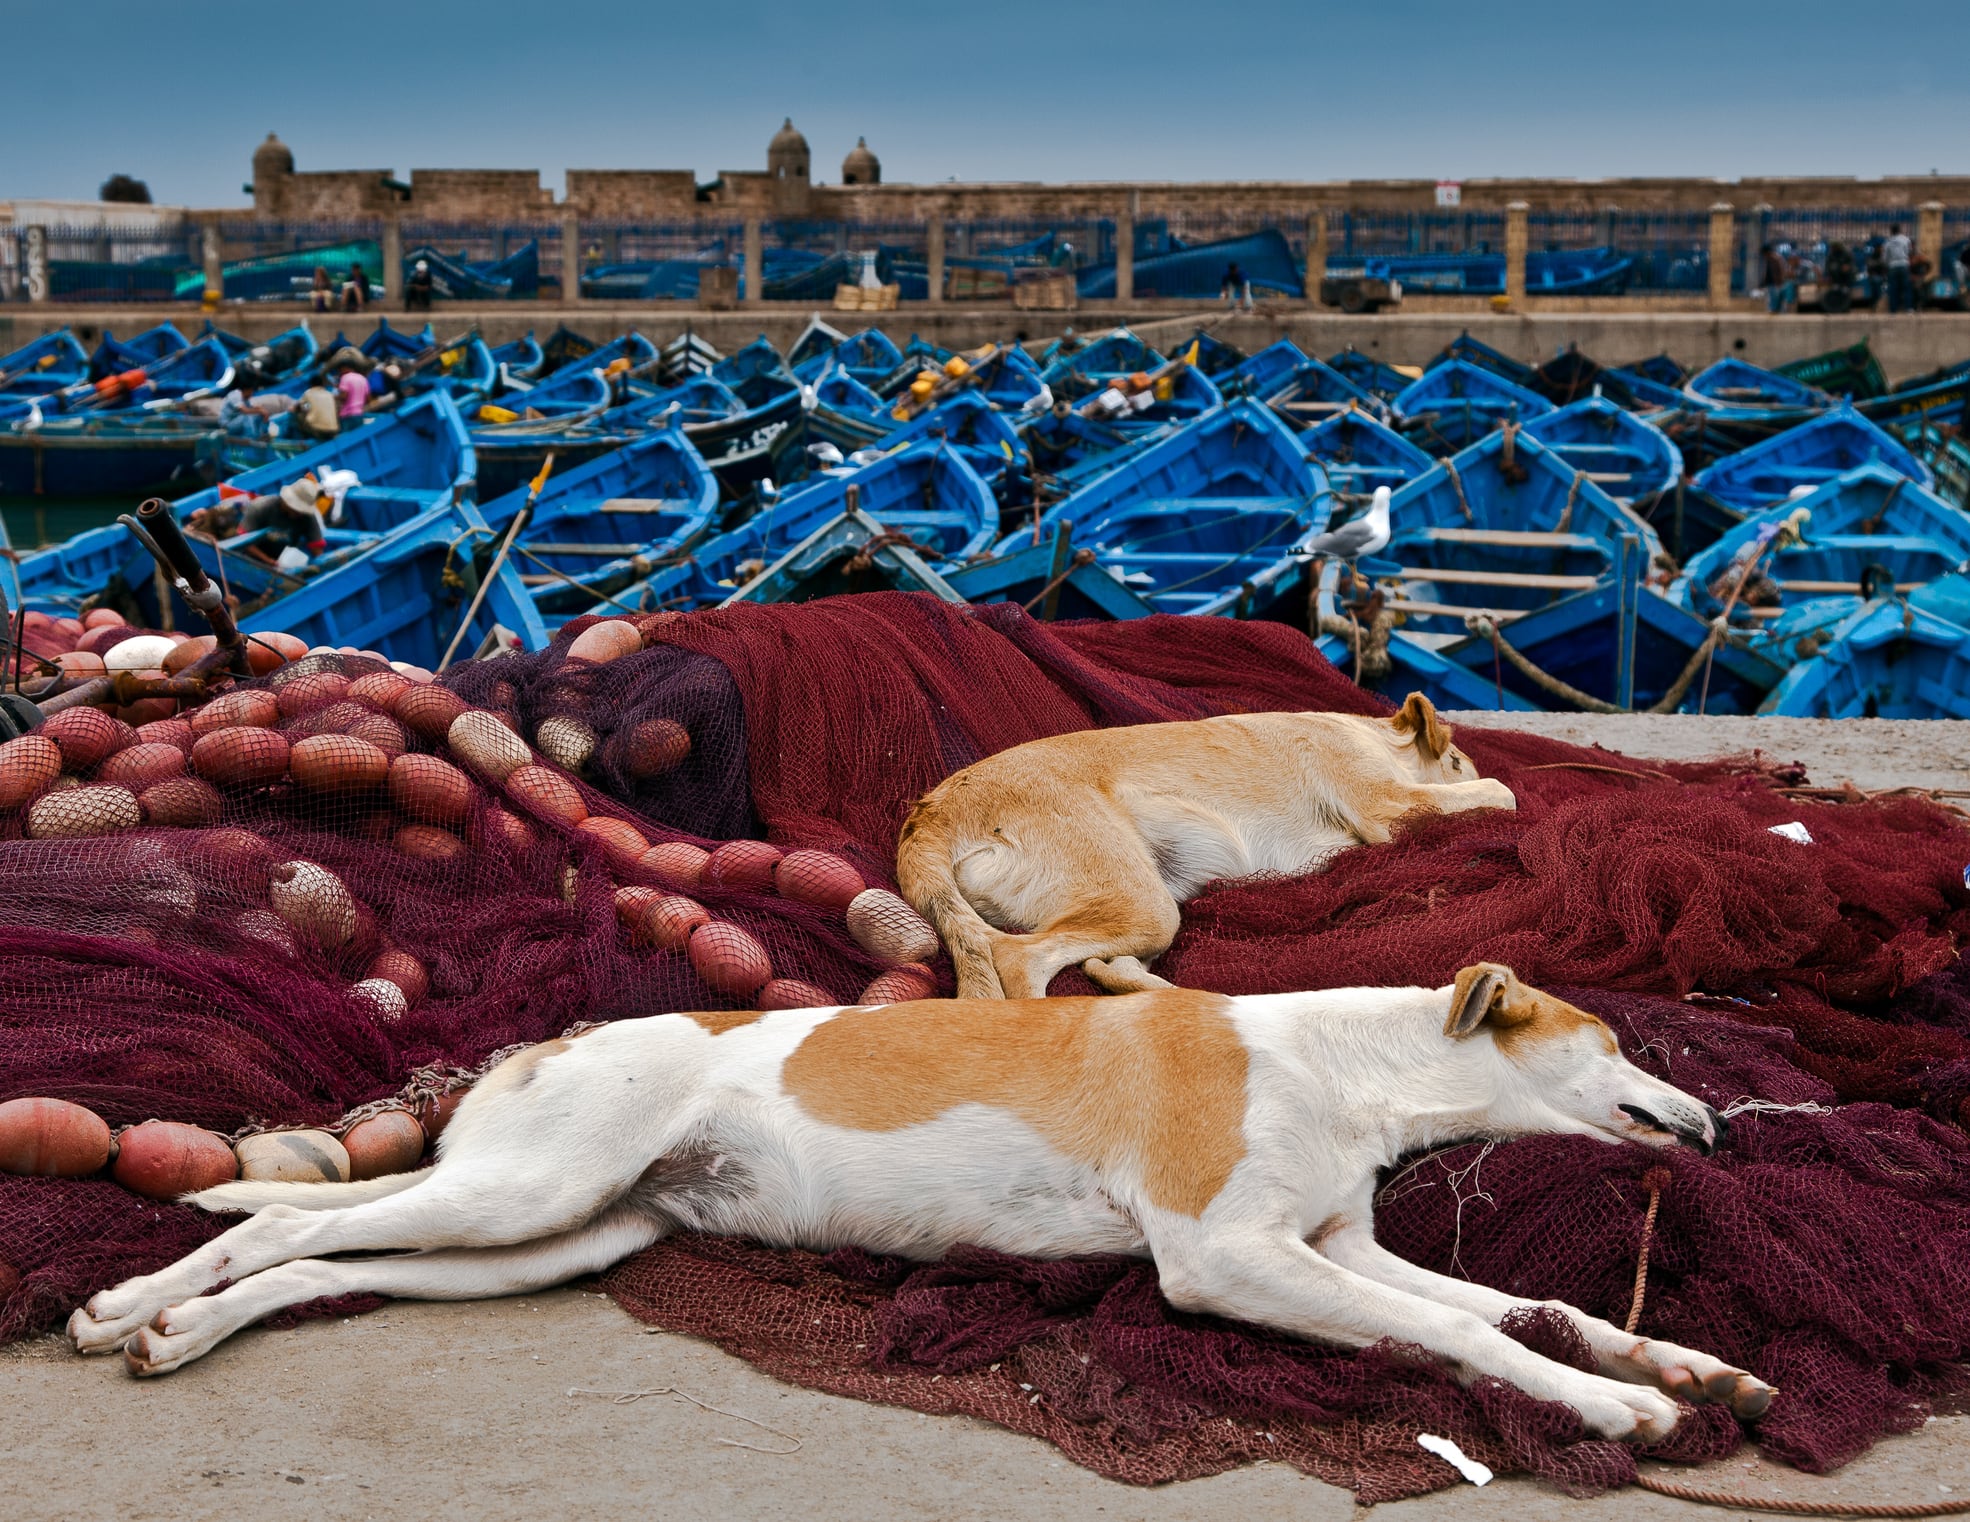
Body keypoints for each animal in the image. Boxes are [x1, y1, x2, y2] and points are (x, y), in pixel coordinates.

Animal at [65, 960, 1773, 1433]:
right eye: (1616, 1038)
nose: (1711, 1113)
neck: (1348, 1063)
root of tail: (540, 1041)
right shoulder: (1228, 1262)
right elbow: (1476, 1337)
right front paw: (1619, 1407)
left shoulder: (1330, 1245)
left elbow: (1512, 1303)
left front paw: (1692, 1364)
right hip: (519, 1192)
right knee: (284, 1221)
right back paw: (131, 1303)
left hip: (545, 1238)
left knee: (306, 1260)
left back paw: (176, 1332)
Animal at [902, 693, 1512, 1004]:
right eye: (1457, 760)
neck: (1371, 734)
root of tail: (931, 813)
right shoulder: (1387, 805)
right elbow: (1501, 790)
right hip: (1142, 904)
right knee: (1023, 959)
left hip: (1141, 908)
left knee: (1108, 967)